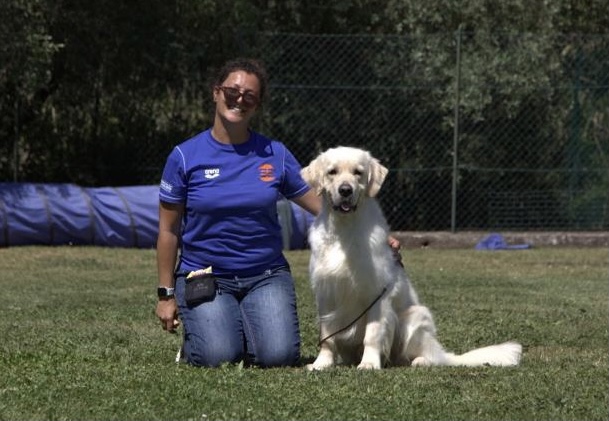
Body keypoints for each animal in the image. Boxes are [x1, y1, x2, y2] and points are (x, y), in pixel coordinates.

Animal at [300, 146, 522, 370]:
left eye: (358, 173)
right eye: (332, 172)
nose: (345, 190)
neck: (344, 229)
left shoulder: (377, 294)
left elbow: (372, 334)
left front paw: (369, 363)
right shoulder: (326, 293)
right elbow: (327, 337)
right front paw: (321, 363)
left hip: (414, 317)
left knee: (425, 356)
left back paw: (420, 361)